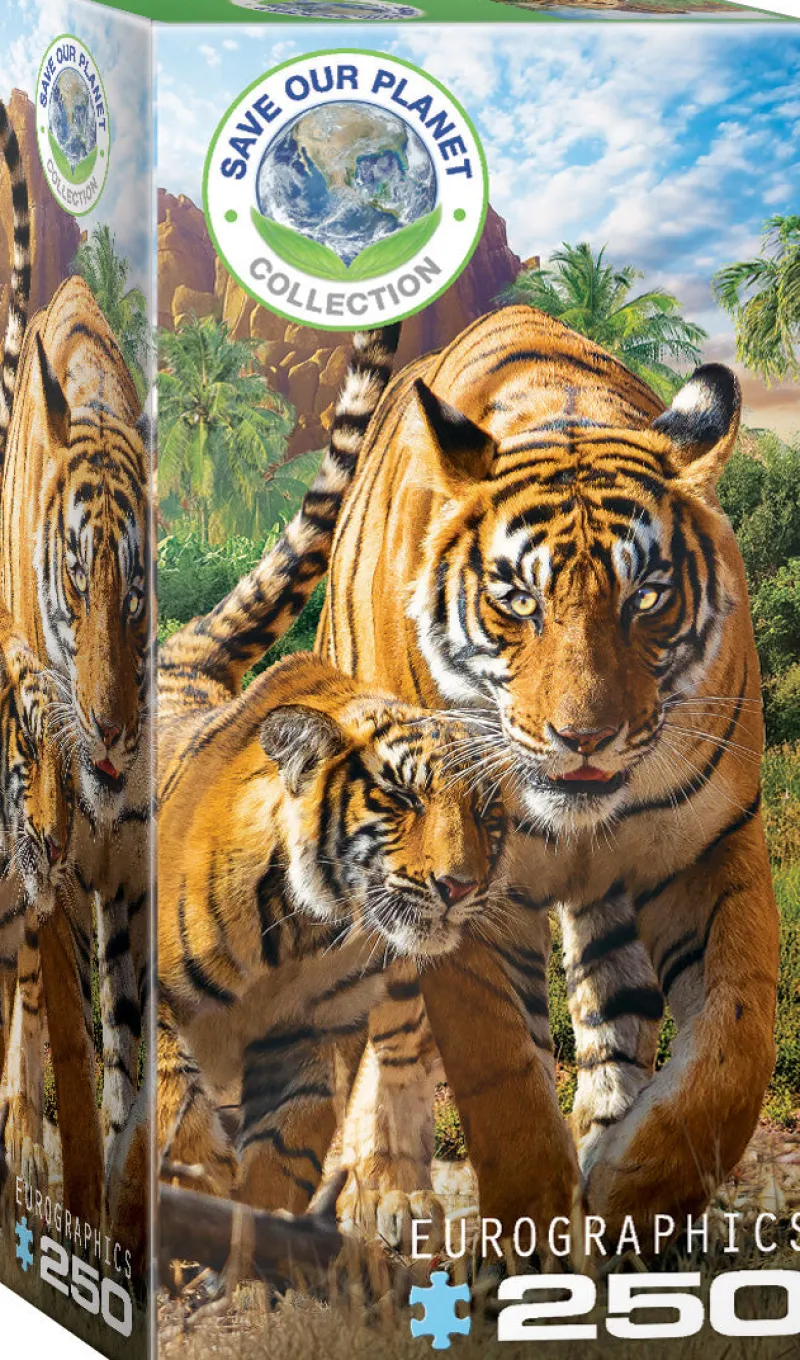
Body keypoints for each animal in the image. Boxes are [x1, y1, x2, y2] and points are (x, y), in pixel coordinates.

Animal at [157, 327, 508, 1220]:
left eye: (488, 815)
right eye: (400, 796)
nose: (460, 885)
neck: (306, 934)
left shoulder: (310, 1043)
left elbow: (282, 1155)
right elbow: (173, 1100)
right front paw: (192, 1184)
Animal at [315, 303, 778, 1243]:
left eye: (646, 597)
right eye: (517, 601)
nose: (584, 737)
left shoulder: (714, 845)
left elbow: (735, 1045)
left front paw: (633, 1190)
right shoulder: (460, 894)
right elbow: (504, 1082)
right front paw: (536, 1239)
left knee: (612, 1009)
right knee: (380, 1029)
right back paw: (383, 1191)